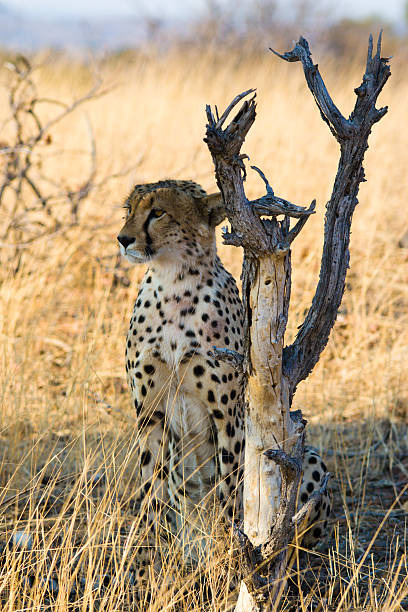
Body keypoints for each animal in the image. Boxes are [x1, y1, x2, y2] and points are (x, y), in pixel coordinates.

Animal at [116, 179, 330, 572]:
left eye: (158, 212)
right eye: (129, 210)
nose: (123, 239)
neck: (173, 283)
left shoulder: (228, 416)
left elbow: (230, 492)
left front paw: (230, 562)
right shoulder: (149, 412)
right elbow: (151, 487)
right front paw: (148, 560)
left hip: (308, 459)